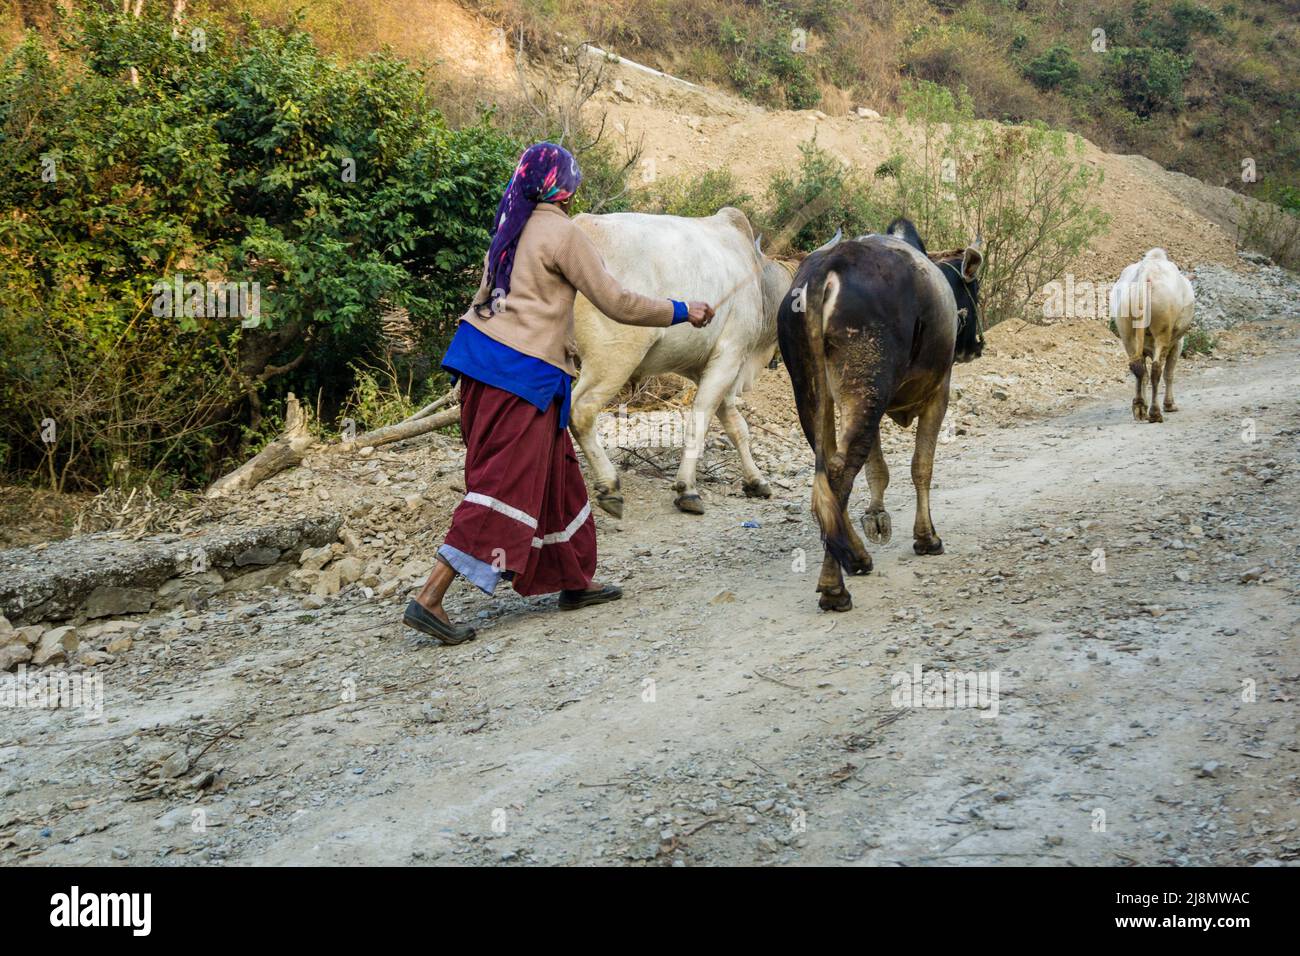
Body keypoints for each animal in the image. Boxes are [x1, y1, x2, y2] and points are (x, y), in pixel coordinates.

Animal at [569, 208, 790, 515]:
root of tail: (580, 226)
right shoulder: (730, 356)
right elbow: (701, 418)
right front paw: (687, 489)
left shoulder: (711, 368)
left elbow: (737, 426)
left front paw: (756, 481)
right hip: (612, 360)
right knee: (580, 411)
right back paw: (609, 485)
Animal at [774, 219, 977, 608]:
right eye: (973, 286)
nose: (977, 345)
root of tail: (826, 271)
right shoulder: (938, 392)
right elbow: (921, 467)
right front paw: (926, 538)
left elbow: (877, 470)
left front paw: (877, 517)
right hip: (865, 387)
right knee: (840, 472)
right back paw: (834, 587)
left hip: (814, 392)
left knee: (829, 469)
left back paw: (854, 555)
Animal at [1112, 248, 1190, 424]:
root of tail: (1145, 274)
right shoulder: (1178, 343)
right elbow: (1169, 373)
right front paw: (1170, 405)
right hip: (1163, 328)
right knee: (1156, 369)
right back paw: (1155, 413)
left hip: (1126, 331)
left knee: (1137, 367)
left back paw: (1140, 408)